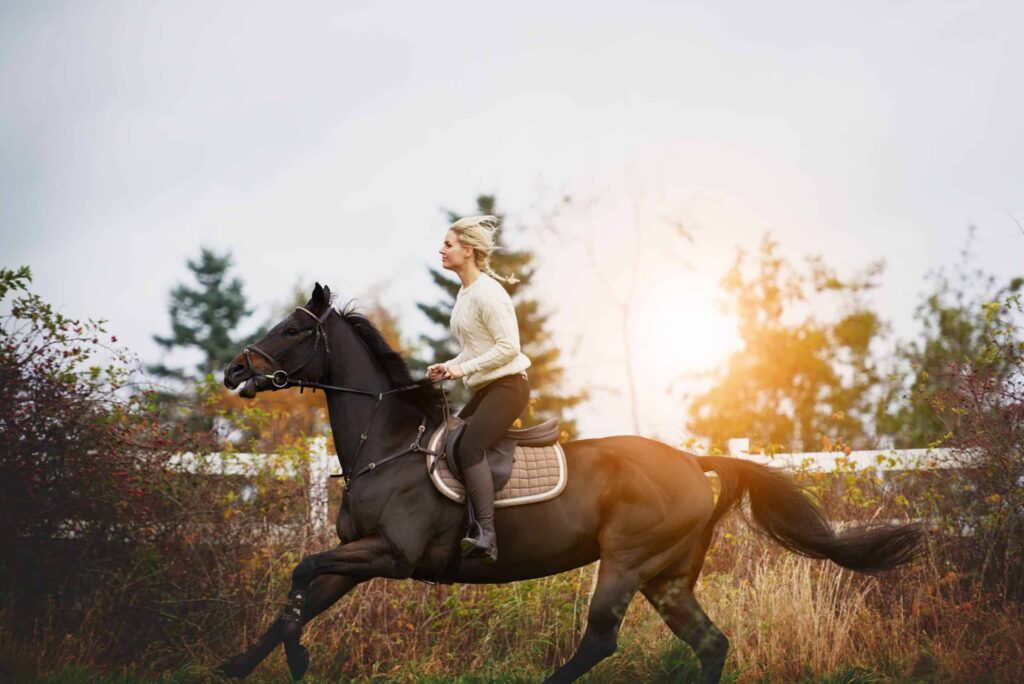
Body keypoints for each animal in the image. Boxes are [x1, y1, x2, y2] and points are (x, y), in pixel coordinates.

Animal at [220, 282, 925, 679]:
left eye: (292, 330)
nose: (233, 371)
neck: (387, 448)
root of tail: (693, 461)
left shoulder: (392, 555)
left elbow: (301, 574)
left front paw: (297, 662)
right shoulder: (358, 557)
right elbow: (299, 596)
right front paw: (236, 666)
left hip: (627, 562)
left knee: (601, 641)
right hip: (667, 578)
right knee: (711, 644)